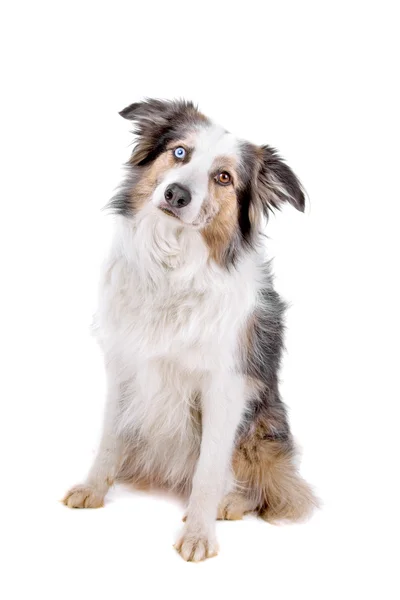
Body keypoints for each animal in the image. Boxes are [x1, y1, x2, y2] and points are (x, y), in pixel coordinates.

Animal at [63, 98, 318, 564]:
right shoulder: (123, 364)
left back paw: (230, 502)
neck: (172, 266)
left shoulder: (225, 386)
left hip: (260, 425)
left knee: (265, 486)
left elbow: (209, 469)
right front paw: (94, 488)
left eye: (223, 177)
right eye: (180, 152)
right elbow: (109, 437)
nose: (176, 194)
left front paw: (199, 533)